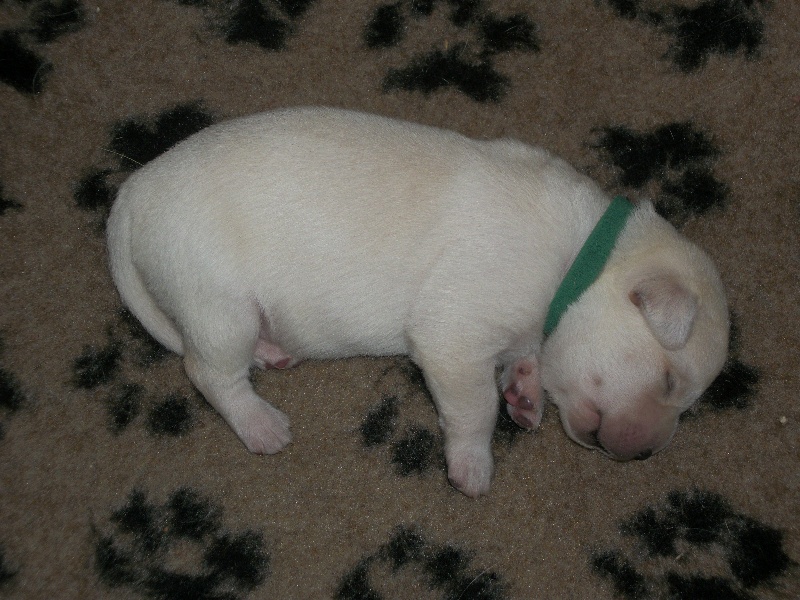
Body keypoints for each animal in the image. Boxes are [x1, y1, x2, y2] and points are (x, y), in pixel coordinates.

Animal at [107, 107, 729, 497]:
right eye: (670, 381)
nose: (646, 456)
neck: (580, 260)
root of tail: (132, 194)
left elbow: (524, 363)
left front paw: (526, 392)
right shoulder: (454, 332)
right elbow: (474, 406)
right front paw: (473, 465)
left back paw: (271, 353)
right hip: (217, 301)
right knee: (208, 372)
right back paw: (260, 423)